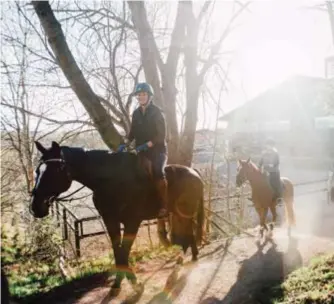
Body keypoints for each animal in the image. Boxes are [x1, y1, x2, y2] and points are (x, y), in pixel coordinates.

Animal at [30, 141, 205, 298]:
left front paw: (135, 285)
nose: (35, 207)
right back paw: (192, 259)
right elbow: (117, 251)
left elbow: (124, 251)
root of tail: (194, 172)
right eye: (38, 171)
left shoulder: (132, 222)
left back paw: (175, 272)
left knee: (187, 237)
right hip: (180, 214)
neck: (111, 180)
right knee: (189, 235)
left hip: (184, 213)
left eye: (55, 170)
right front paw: (118, 285)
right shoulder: (111, 221)